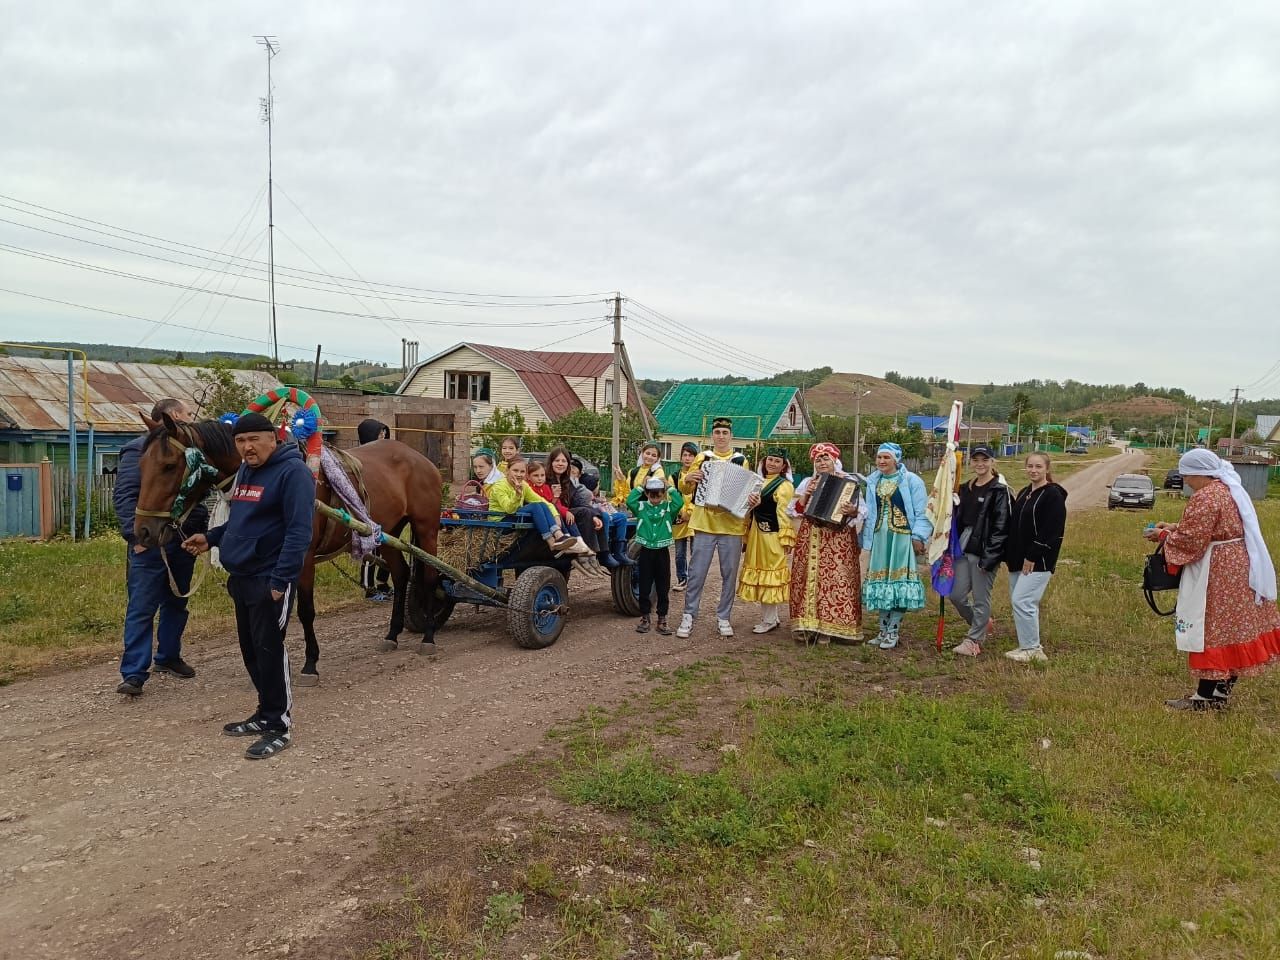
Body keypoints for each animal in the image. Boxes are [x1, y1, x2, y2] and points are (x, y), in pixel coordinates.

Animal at [133, 414, 445, 686]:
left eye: (169, 466)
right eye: (141, 464)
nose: (144, 531)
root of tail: (420, 458)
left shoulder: (302, 558)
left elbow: (305, 610)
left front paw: (310, 664)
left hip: (426, 528)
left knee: (431, 577)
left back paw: (429, 636)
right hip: (387, 532)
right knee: (402, 574)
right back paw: (392, 634)